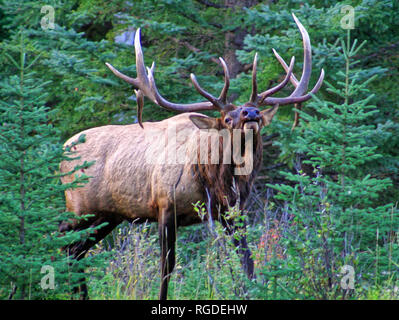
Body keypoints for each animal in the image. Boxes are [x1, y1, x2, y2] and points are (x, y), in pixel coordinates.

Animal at [61, 14, 324, 300]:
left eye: (257, 114)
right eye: (227, 118)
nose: (252, 113)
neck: (211, 179)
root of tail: (62, 150)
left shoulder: (232, 211)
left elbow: (247, 262)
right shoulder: (164, 206)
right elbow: (167, 267)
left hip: (107, 215)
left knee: (76, 252)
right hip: (80, 208)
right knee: (65, 245)